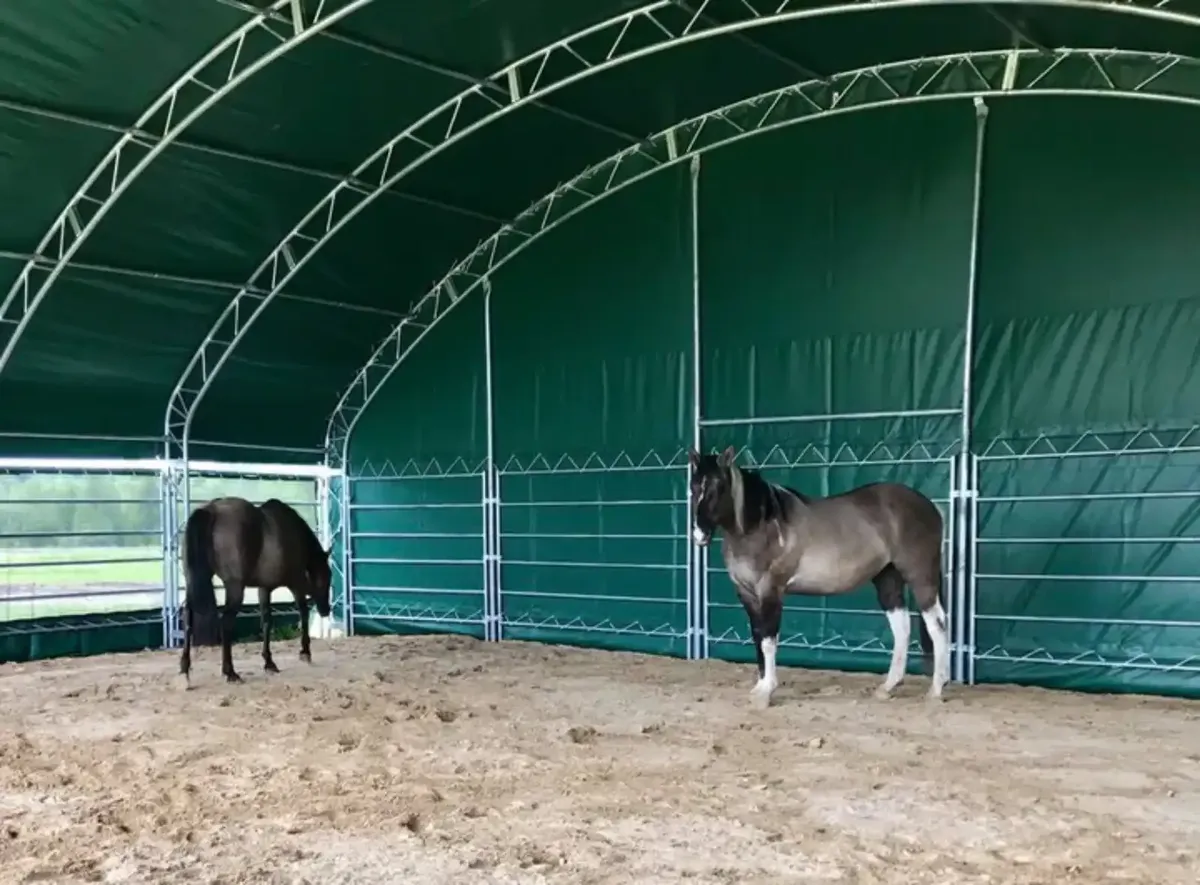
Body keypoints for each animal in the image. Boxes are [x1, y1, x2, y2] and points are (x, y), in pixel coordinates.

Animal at [175, 496, 333, 681]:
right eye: (327, 577)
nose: (326, 610)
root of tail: (210, 511)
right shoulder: (296, 583)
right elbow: (304, 613)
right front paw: (305, 652)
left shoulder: (264, 588)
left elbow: (266, 622)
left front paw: (269, 662)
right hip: (235, 587)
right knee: (226, 622)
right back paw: (230, 671)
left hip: (193, 581)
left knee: (188, 617)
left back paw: (184, 668)